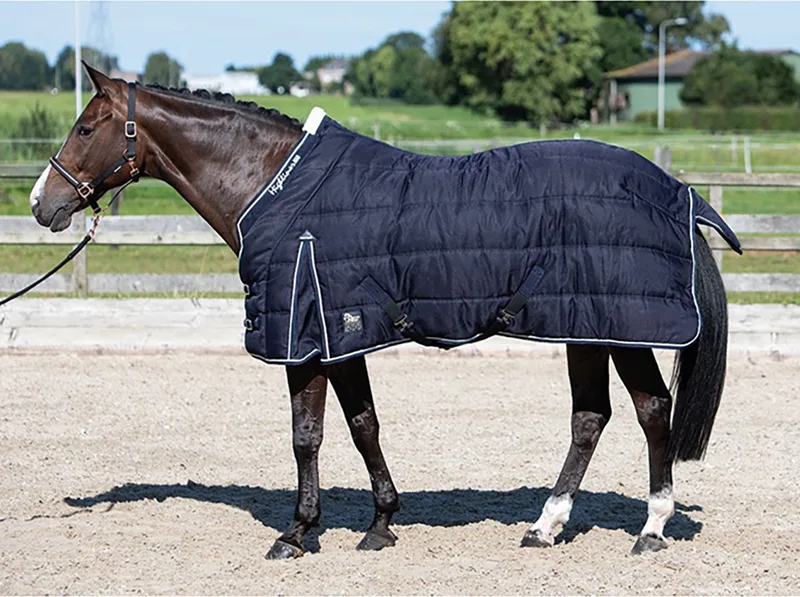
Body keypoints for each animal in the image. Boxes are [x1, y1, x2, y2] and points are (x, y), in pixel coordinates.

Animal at [29, 64, 732, 558]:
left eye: (86, 127)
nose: (42, 202)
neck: (275, 186)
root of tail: (677, 192)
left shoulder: (305, 337)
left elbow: (307, 435)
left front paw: (297, 534)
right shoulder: (340, 336)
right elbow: (362, 424)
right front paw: (381, 523)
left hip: (621, 329)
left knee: (651, 411)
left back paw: (650, 529)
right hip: (585, 327)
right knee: (591, 418)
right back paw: (545, 526)